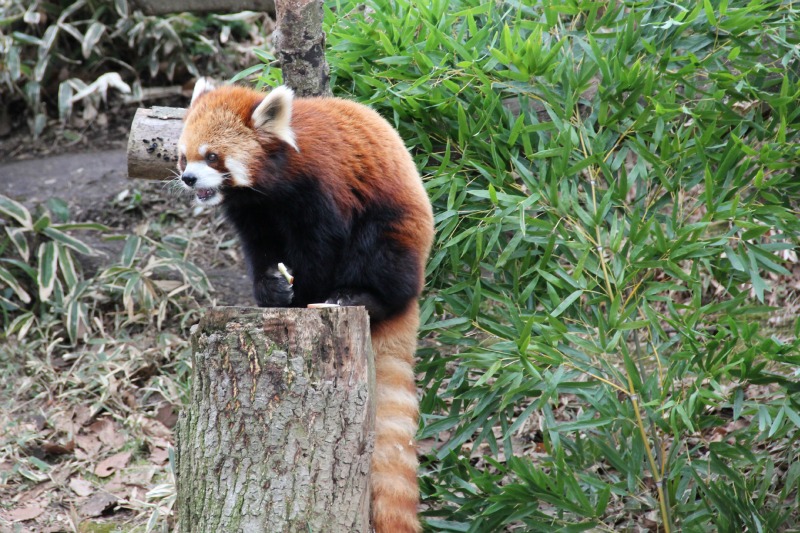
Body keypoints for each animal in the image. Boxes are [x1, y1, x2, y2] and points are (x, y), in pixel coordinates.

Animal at [179, 80, 434, 532]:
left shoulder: (321, 188)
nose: (188, 178)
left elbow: (320, 248)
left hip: (395, 228)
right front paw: (272, 291)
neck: (272, 184)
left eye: (211, 156)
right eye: (184, 155)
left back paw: (357, 297)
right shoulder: (252, 212)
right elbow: (261, 251)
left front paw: (302, 297)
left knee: (380, 255)